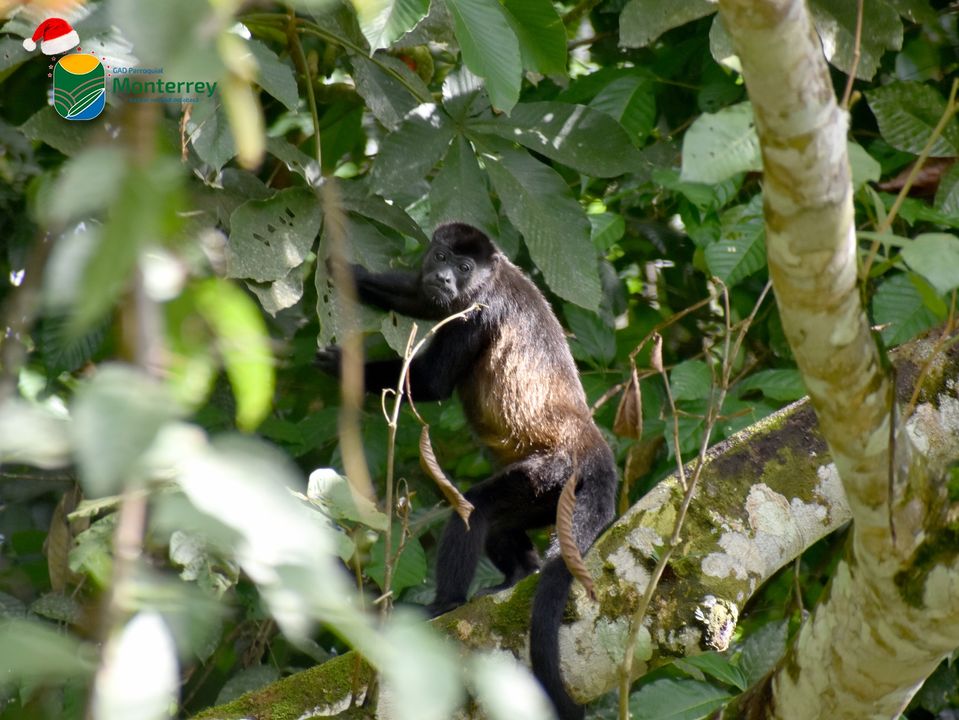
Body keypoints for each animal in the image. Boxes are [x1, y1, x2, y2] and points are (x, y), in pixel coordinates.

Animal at [317, 222, 617, 720]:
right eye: (441, 257)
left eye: (464, 267)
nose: (445, 277)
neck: (489, 279)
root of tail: (594, 450)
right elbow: (420, 299)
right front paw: (351, 272)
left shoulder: (479, 313)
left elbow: (433, 382)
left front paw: (341, 366)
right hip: (548, 499)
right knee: (498, 526)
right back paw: (517, 575)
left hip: (551, 474)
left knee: (476, 508)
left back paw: (446, 602)